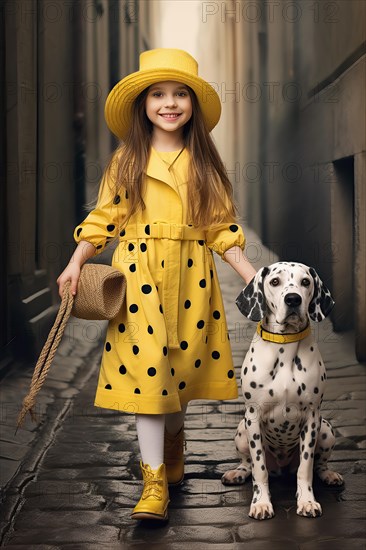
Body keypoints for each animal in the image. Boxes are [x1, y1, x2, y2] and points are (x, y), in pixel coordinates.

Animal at [222, 264, 344, 520]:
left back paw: (328, 474)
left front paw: (307, 501)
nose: (293, 299)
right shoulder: (253, 418)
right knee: (248, 463)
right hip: (241, 430)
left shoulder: (312, 418)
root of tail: (281, 466)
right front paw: (261, 503)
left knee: (319, 464)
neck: (285, 347)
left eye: (305, 282)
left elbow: (305, 468)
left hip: (326, 429)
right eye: (275, 281)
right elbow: (259, 469)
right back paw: (238, 473)